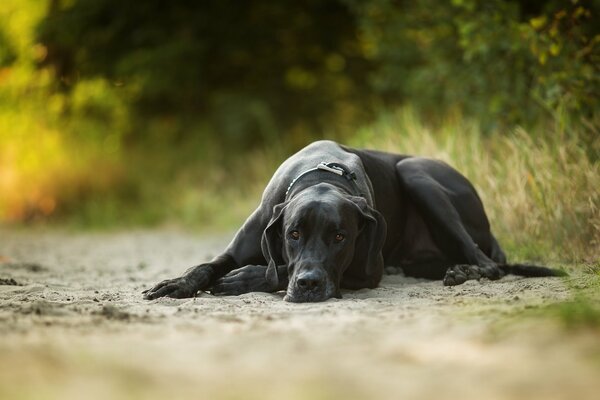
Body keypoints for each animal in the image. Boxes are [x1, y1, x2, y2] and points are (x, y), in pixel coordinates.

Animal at [144, 139, 564, 302]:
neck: (321, 176)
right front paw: (176, 283)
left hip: (416, 172)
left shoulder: (366, 270)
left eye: (340, 237)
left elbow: (274, 271)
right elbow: (207, 265)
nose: (309, 285)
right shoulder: (242, 243)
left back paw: (466, 270)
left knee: (489, 264)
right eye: (293, 233)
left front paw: (246, 278)